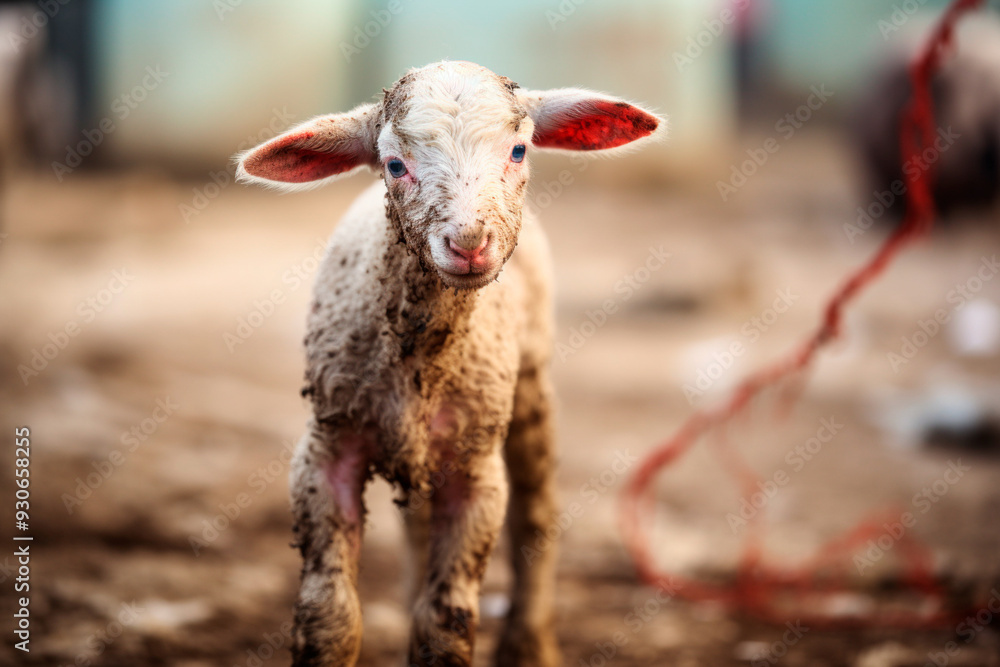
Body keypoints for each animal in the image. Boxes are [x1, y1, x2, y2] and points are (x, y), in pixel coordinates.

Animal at [236, 61, 664, 667]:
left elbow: (446, 623)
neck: (421, 353)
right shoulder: (325, 449)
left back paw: (530, 643)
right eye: (394, 164)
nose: (468, 243)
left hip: (529, 385)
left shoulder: (476, 470)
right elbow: (329, 617)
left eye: (518, 150)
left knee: (535, 513)